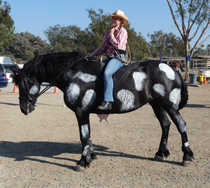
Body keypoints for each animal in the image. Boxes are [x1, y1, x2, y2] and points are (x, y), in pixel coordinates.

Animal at [12, 51, 194, 170]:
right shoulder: (85, 113)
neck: (75, 74)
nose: (23, 108)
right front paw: (91, 156)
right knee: (166, 125)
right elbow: (88, 135)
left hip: (170, 105)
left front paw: (82, 161)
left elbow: (83, 136)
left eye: (24, 83)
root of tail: (172, 68)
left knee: (181, 125)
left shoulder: (81, 112)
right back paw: (160, 153)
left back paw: (186, 155)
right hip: (157, 105)